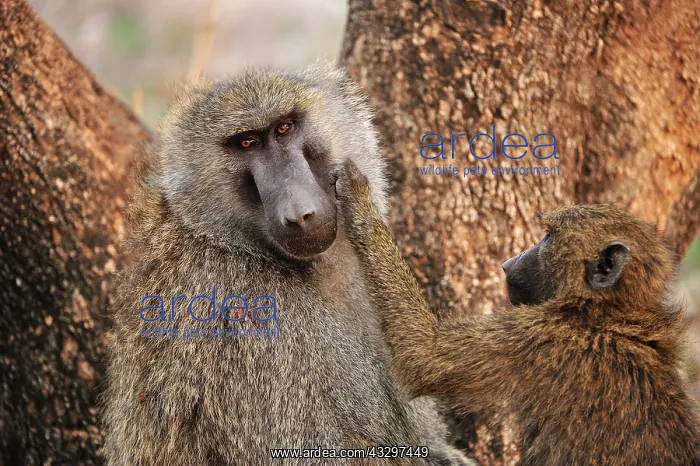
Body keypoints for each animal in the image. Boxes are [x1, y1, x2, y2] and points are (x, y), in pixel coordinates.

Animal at [334, 159, 700, 466]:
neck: (609, 316)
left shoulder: (540, 339)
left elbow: (424, 356)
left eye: (548, 237)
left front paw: (359, 201)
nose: (514, 258)